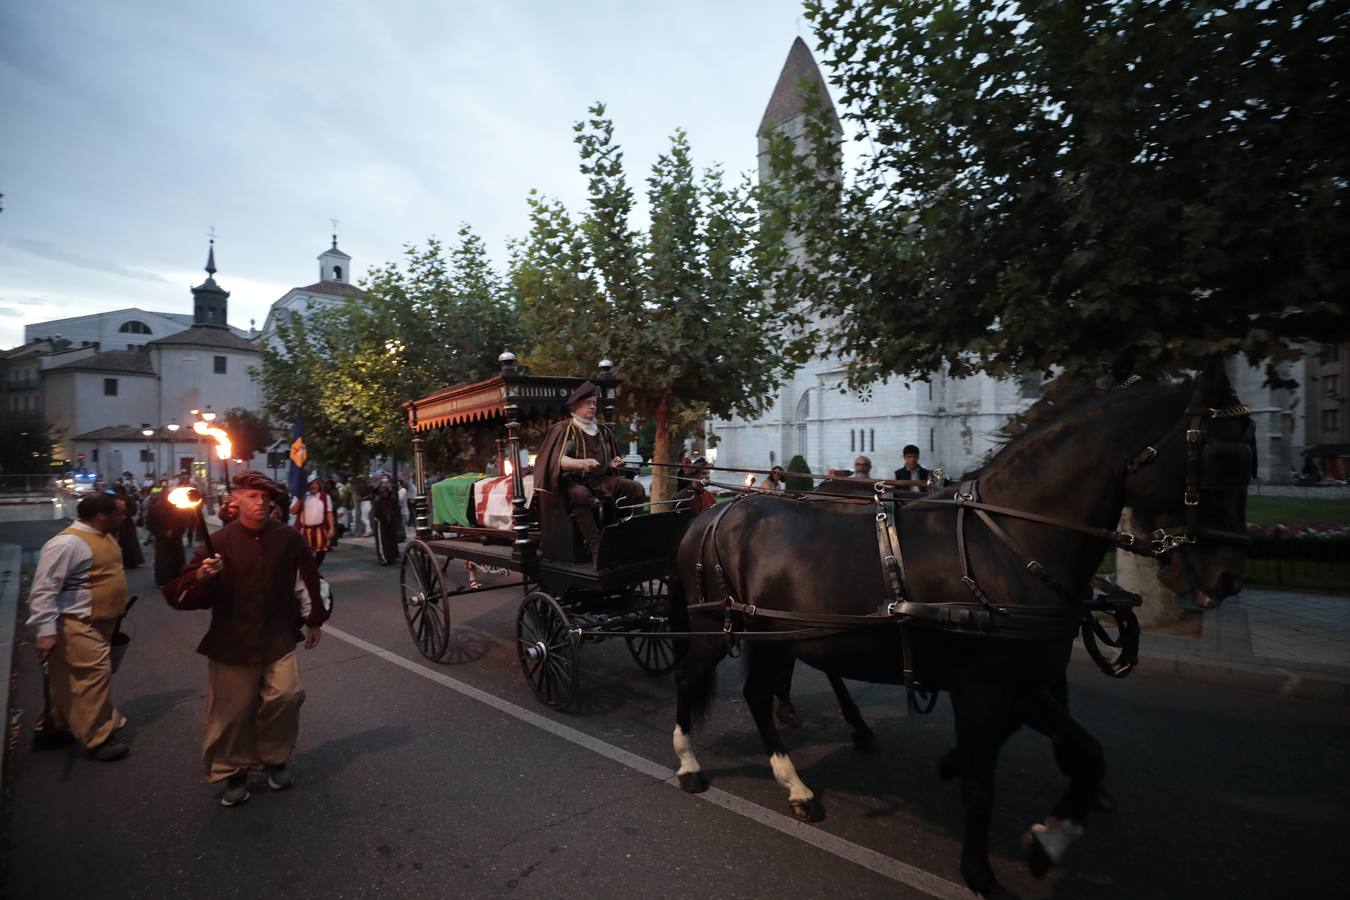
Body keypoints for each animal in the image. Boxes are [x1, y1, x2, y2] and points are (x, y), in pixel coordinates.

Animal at [666, 361, 1252, 900]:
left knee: (759, 694)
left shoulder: (1023, 682)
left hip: (779, 634)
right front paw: (982, 873)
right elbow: (980, 785)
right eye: (1219, 455)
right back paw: (690, 763)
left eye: (1247, 456)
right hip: (713, 627)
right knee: (690, 681)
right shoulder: (984, 687)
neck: (1008, 540)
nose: (1225, 578)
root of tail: (714, 512)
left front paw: (1050, 838)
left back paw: (799, 783)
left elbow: (1086, 753)